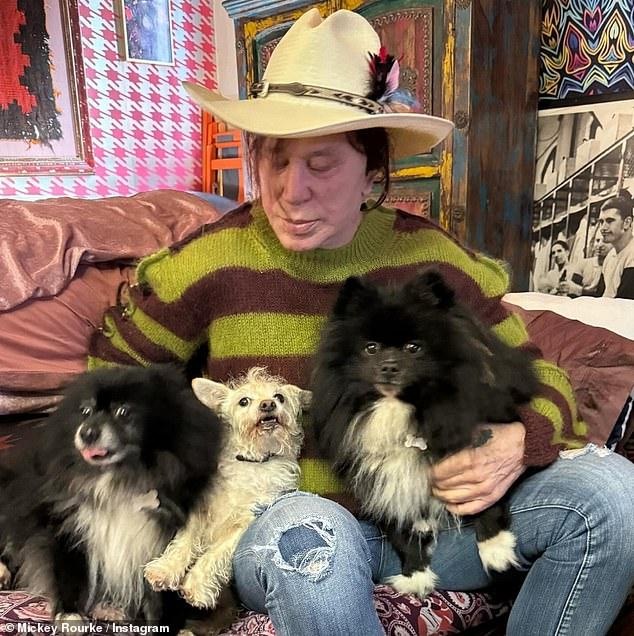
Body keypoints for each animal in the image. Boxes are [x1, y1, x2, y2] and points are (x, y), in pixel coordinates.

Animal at [0, 365, 223, 627]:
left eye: (123, 411)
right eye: (86, 411)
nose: (87, 433)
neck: (121, 478)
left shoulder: (160, 538)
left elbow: (160, 588)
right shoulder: (66, 526)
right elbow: (68, 572)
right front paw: (70, 615)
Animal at [144, 366, 310, 610]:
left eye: (279, 397)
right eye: (244, 401)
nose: (268, 404)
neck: (250, 463)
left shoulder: (243, 524)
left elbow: (213, 555)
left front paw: (196, 586)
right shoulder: (199, 510)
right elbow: (184, 542)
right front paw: (165, 569)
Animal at [310, 270, 539, 598]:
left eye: (413, 348)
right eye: (371, 348)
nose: (389, 366)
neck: (401, 406)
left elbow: (489, 498)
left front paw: (496, 548)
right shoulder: (376, 476)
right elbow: (398, 525)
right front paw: (415, 573)